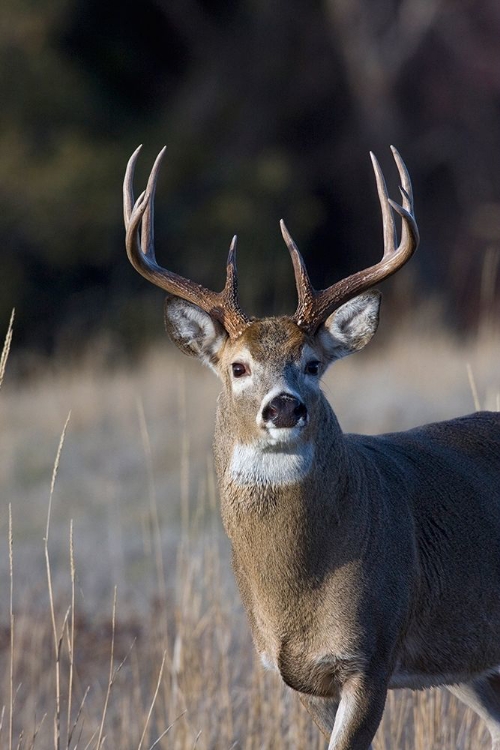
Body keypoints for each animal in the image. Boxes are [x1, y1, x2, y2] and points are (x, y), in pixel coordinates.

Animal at [122, 147, 500, 750]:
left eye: (314, 363)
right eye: (238, 366)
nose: (283, 407)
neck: (296, 594)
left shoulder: (371, 654)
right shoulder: (296, 677)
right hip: (474, 664)